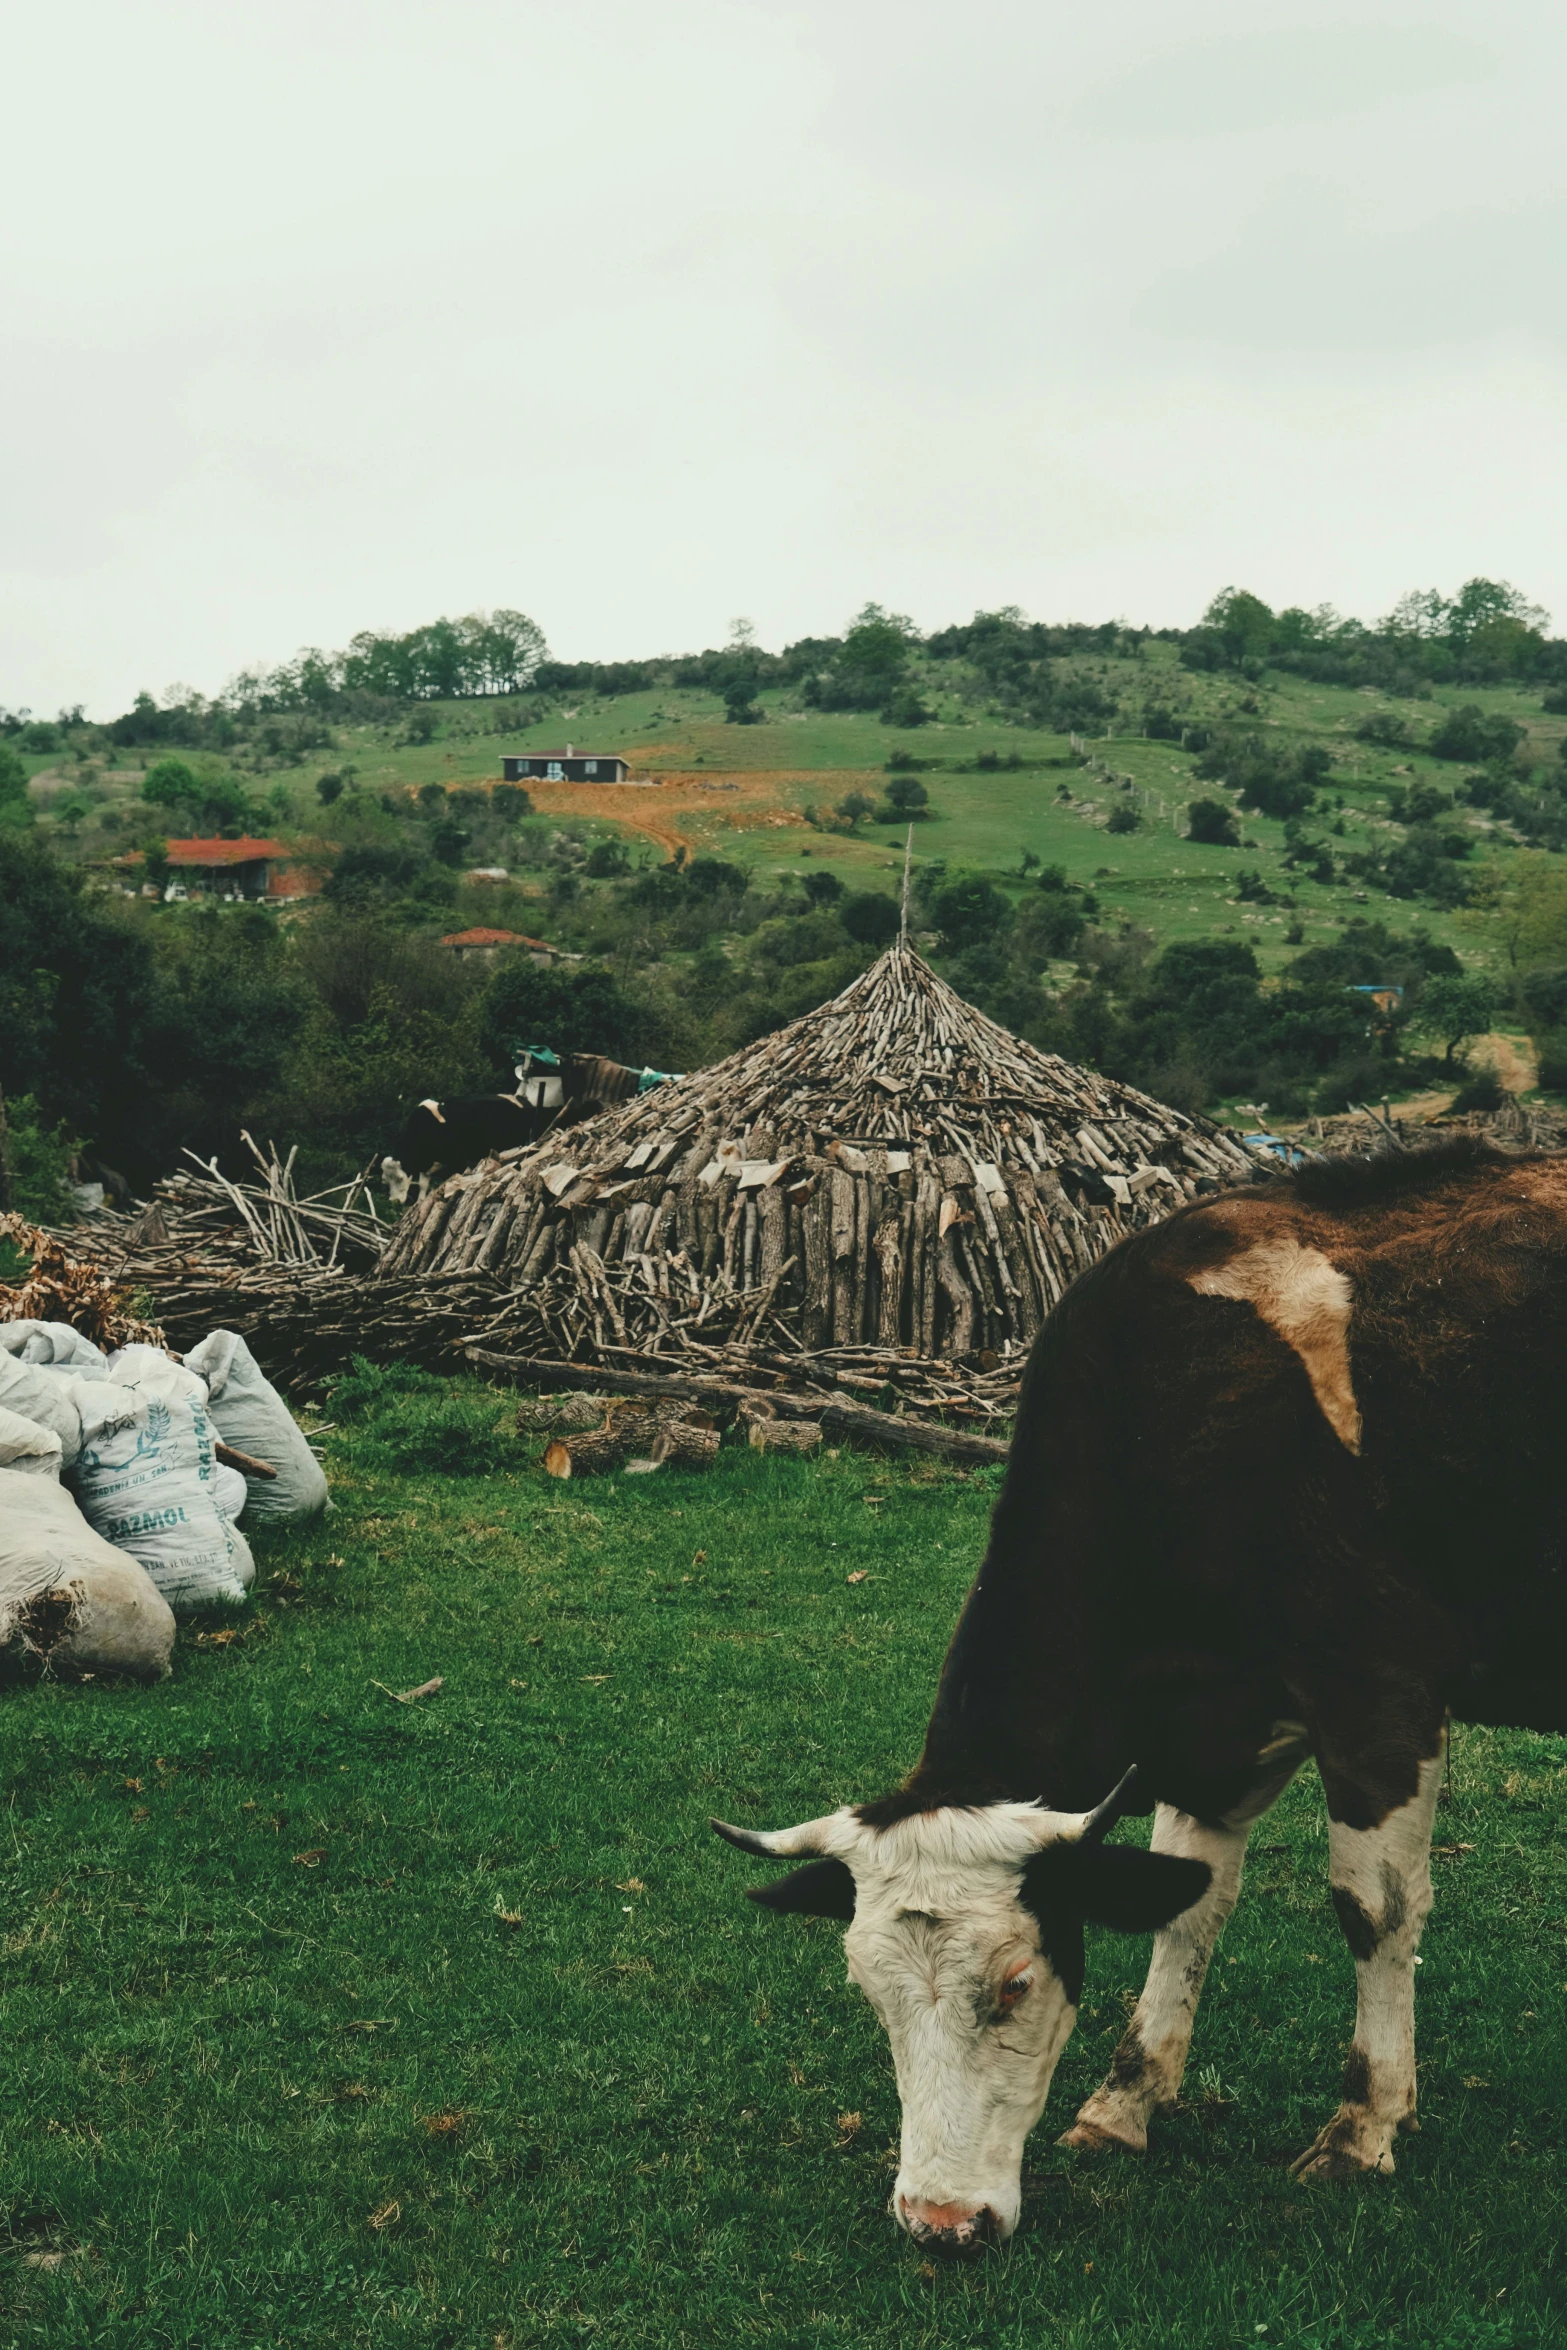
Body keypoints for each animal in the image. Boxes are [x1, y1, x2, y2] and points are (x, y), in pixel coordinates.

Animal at [718, 1146, 1567, 2246]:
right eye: (869, 1992)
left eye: (1014, 1982)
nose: (939, 2220)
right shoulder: (1211, 1730)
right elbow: (1189, 1902)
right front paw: (1124, 2102)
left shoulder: (1379, 1697)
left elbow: (1372, 1910)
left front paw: (1363, 2124)